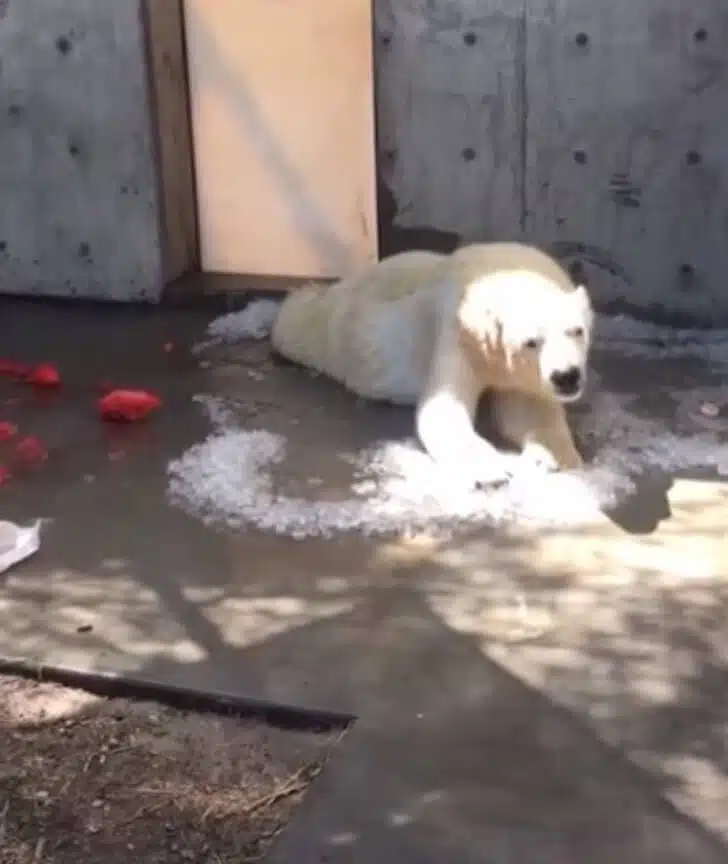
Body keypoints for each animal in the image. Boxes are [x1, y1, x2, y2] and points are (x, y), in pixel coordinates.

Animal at [271, 242, 594, 489]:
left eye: (577, 330)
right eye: (531, 341)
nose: (567, 376)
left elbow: (529, 406)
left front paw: (555, 456)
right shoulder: (458, 334)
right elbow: (443, 406)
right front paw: (490, 469)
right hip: (341, 327)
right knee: (305, 321)